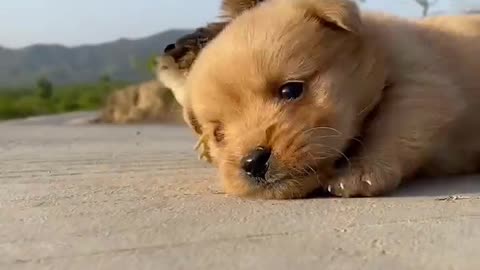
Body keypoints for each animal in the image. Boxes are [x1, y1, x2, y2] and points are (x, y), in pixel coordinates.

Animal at [178, 0, 480, 199]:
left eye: (290, 90)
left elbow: (389, 128)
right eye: (218, 134)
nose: (253, 162)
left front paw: (360, 172)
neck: (379, 55)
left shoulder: (423, 84)